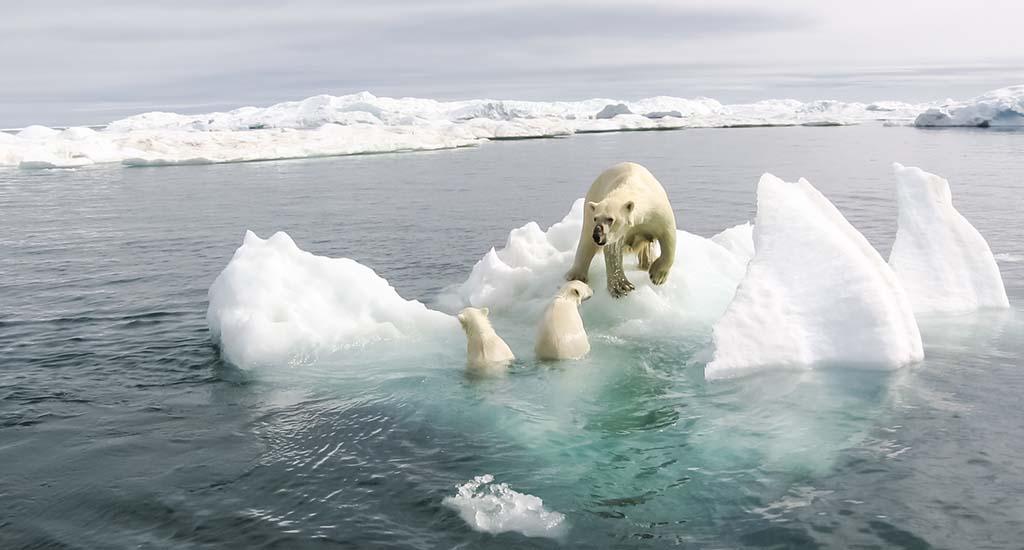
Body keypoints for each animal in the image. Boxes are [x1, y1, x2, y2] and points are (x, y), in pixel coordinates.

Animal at [565, 160, 675, 294]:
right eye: (596, 218)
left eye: (610, 219)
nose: (597, 236)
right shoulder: (616, 233)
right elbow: (613, 252)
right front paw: (622, 286)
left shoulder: (657, 211)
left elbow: (668, 235)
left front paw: (657, 276)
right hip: (590, 204)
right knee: (586, 242)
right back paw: (576, 276)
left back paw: (647, 263)